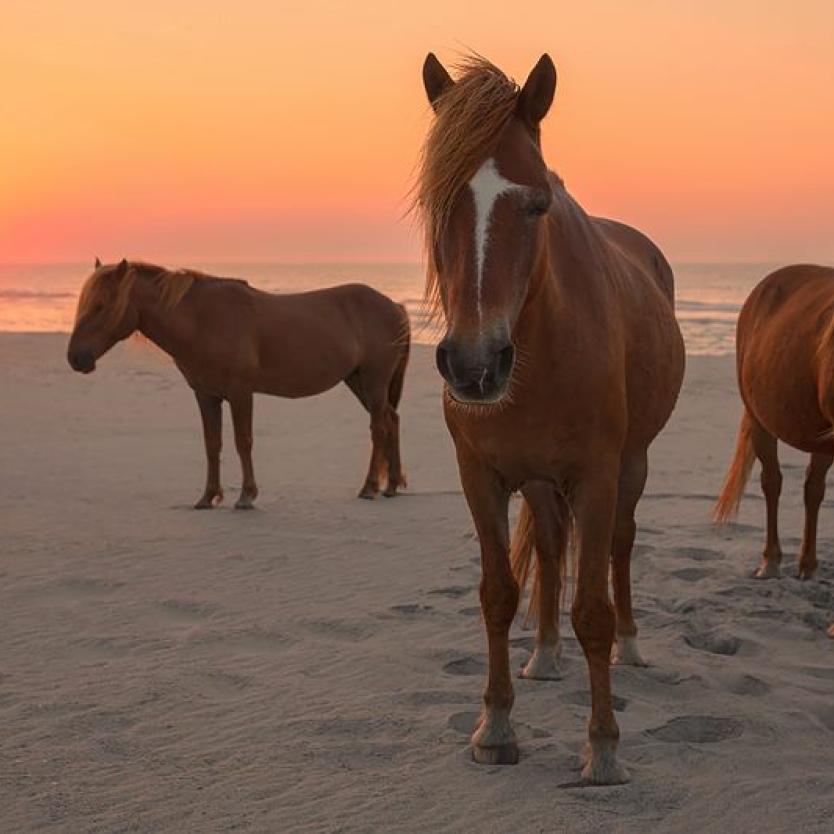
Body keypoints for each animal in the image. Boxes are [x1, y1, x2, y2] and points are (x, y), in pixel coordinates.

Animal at [67, 259, 410, 507]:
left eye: (101, 305)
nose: (75, 358)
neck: (204, 320)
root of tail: (394, 306)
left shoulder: (241, 393)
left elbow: (243, 441)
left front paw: (246, 495)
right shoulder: (206, 395)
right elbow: (212, 443)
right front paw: (208, 497)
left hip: (374, 381)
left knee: (379, 427)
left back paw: (369, 487)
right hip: (357, 381)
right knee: (391, 420)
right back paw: (391, 485)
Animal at [416, 53, 685, 783]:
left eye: (537, 203)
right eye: (436, 201)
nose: (475, 364)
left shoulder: (596, 476)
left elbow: (592, 606)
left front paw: (604, 748)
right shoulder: (479, 477)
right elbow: (497, 594)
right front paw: (495, 728)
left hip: (631, 467)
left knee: (619, 545)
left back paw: (630, 647)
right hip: (538, 482)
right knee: (547, 542)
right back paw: (543, 653)